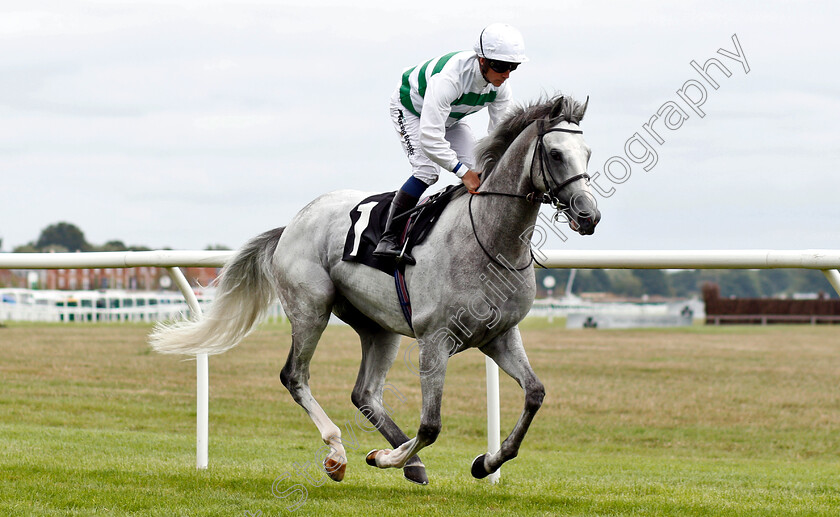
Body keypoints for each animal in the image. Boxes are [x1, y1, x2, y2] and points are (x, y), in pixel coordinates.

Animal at [149, 94, 596, 486]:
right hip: (311, 309)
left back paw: (410, 463)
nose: (588, 214)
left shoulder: (499, 335)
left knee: (365, 393)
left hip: (378, 327)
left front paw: (485, 463)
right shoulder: (434, 340)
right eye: (556, 154)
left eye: (588, 153)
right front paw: (384, 458)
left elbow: (535, 394)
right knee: (295, 376)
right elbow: (431, 424)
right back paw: (341, 452)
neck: (488, 238)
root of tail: (293, 223)